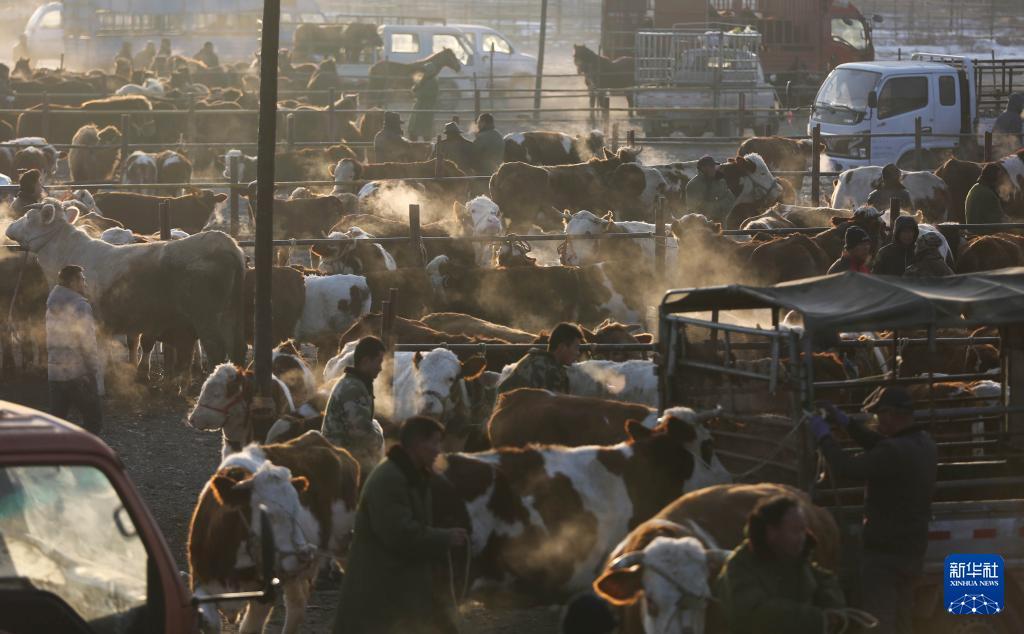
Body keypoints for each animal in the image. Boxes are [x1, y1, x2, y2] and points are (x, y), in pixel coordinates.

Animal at [6, 203, 247, 366]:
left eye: (29, 216)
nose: (9, 226)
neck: (71, 253)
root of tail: (227, 242)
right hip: (231, 316)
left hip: (207, 318)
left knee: (216, 350)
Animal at [188, 434, 360, 634]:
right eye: (267, 515)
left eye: (296, 509)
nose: (305, 553)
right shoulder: (201, 583)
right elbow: (211, 624)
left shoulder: (265, 594)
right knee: (296, 604)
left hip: (342, 543)